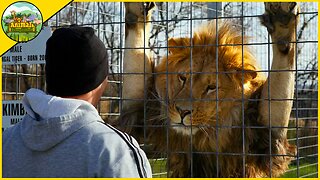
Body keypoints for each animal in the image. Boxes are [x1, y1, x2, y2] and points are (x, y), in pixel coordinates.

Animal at [119, 2, 298, 178]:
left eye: (211, 87)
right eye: (182, 78)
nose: (182, 112)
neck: (206, 136)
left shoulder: (263, 136)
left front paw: (282, 24)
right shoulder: (142, 110)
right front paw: (136, 12)